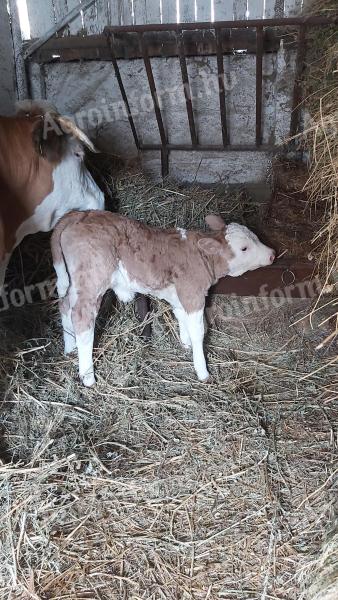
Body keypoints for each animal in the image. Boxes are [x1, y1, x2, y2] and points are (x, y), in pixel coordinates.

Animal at [51, 211, 276, 386]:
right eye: (244, 248)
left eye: (256, 237)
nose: (273, 254)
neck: (201, 256)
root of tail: (80, 214)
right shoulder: (193, 293)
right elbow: (199, 330)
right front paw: (202, 371)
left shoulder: (177, 294)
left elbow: (181, 318)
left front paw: (185, 344)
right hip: (92, 281)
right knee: (81, 317)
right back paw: (88, 376)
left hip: (75, 283)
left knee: (65, 305)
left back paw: (69, 349)